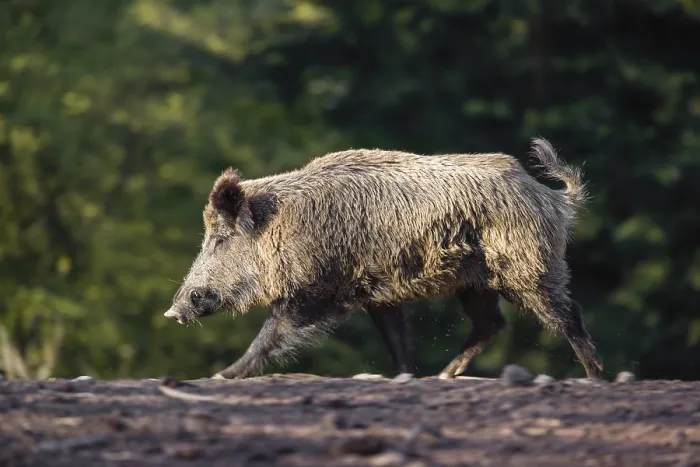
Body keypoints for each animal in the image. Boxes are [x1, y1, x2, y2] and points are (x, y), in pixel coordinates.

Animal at [164, 137, 604, 380]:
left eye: (221, 239)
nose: (173, 311)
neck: (283, 227)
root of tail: (554, 199)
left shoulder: (317, 292)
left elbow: (271, 335)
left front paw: (221, 377)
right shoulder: (377, 295)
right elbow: (397, 340)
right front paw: (406, 376)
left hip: (528, 271)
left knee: (568, 315)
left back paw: (595, 376)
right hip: (476, 284)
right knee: (490, 325)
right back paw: (443, 376)